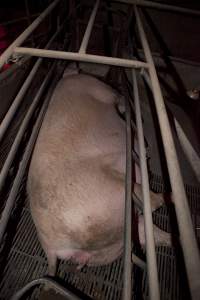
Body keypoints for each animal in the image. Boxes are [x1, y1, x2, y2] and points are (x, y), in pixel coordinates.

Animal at [27, 69, 170, 274]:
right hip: (117, 193)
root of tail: (52, 248)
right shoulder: (102, 90)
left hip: (108, 250)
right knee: (151, 204)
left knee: (153, 233)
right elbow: (117, 98)